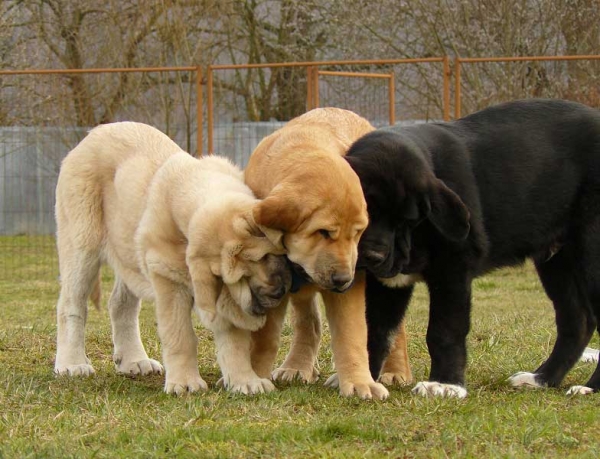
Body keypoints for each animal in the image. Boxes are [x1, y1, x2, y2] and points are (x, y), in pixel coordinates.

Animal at [54, 122, 290, 396]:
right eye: (242, 276)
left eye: (267, 255)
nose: (279, 291)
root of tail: (93, 134)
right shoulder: (168, 278)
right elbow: (181, 335)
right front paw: (186, 383)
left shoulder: (222, 294)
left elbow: (235, 340)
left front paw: (246, 381)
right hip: (82, 244)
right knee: (71, 304)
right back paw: (72, 363)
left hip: (129, 253)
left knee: (120, 304)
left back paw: (134, 360)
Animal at [244, 107, 408, 398]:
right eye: (323, 232)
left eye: (358, 232)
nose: (343, 279)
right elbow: (265, 336)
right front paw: (254, 375)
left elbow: (351, 333)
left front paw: (360, 383)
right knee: (307, 321)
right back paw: (297, 366)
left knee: (397, 328)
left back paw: (396, 372)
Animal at [346, 98, 600, 398]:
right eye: (365, 212)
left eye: (407, 221)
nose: (374, 256)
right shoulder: (386, 283)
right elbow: (375, 331)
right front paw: (365, 381)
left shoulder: (454, 267)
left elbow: (444, 330)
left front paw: (445, 384)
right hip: (556, 261)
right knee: (577, 321)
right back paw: (541, 378)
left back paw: (590, 388)